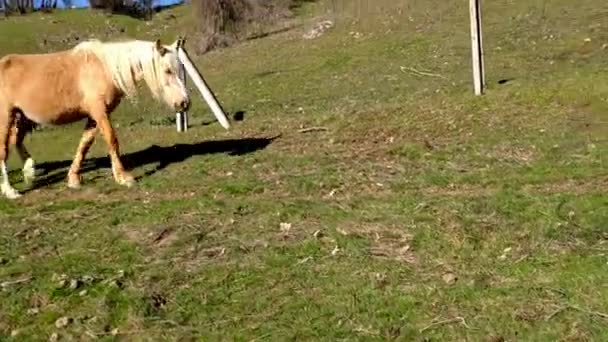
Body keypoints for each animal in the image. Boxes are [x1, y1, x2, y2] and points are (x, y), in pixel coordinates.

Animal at [0, 37, 190, 199]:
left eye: (181, 68)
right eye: (167, 70)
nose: (184, 103)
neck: (105, 68)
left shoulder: (94, 116)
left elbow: (85, 144)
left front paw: (74, 179)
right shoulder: (100, 112)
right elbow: (112, 140)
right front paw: (123, 177)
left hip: (20, 117)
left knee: (17, 141)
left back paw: (30, 170)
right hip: (6, 118)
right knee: (4, 149)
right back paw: (10, 191)